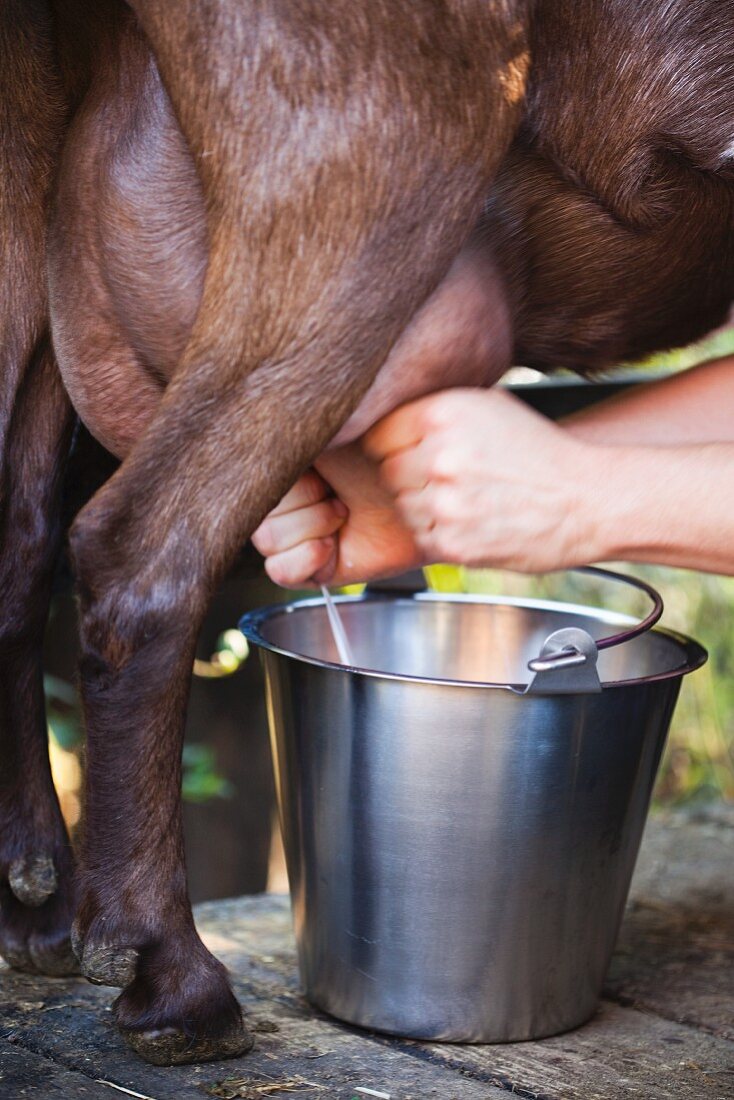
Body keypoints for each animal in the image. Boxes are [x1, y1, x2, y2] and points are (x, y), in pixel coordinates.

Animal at [0, 0, 730, 1064]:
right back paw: (170, 976)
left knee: (21, 539)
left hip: (36, 184)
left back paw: (39, 909)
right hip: (361, 167)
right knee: (140, 551)